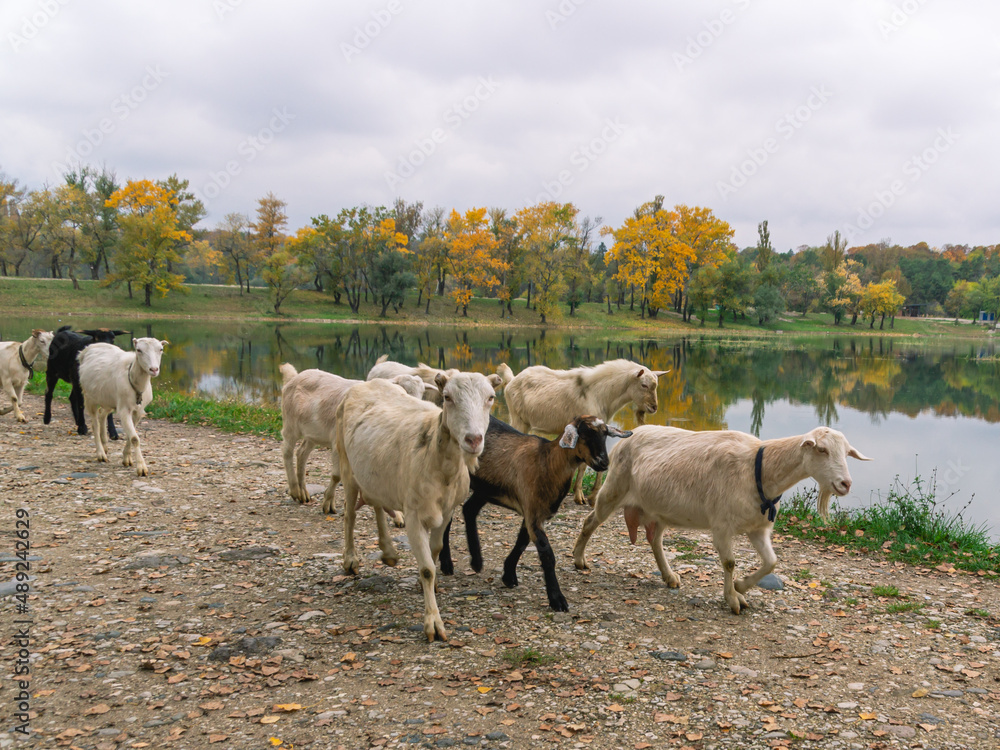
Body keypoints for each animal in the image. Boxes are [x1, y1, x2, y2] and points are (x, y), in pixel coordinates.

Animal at [77, 338, 168, 476]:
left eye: (161, 349)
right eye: (139, 350)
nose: (153, 369)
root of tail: (88, 348)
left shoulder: (138, 411)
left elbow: (131, 436)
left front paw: (127, 458)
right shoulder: (124, 409)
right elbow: (135, 438)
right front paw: (141, 468)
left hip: (108, 399)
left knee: (102, 413)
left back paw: (105, 445)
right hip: (89, 396)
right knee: (94, 423)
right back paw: (101, 454)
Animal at [336, 371, 500, 642]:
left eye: (491, 397)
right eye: (447, 397)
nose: (474, 439)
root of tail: (367, 384)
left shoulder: (447, 510)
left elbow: (435, 550)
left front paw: (427, 585)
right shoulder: (413, 515)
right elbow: (426, 569)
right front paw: (433, 622)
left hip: (376, 473)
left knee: (376, 503)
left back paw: (389, 552)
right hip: (346, 464)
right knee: (349, 514)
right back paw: (350, 560)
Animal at [439, 415, 631, 611]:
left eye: (605, 434)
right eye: (584, 434)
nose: (603, 463)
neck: (547, 461)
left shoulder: (533, 512)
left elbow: (522, 542)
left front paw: (508, 575)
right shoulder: (533, 511)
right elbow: (547, 555)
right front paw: (557, 599)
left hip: (486, 488)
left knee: (469, 509)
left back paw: (476, 561)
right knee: (446, 519)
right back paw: (447, 563)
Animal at [500, 359, 668, 504]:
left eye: (656, 385)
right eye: (644, 385)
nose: (654, 407)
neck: (600, 393)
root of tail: (512, 380)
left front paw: (593, 496)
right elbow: (583, 464)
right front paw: (579, 496)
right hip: (518, 419)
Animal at [572, 425, 871, 614]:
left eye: (846, 453)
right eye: (822, 450)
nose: (845, 484)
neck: (760, 469)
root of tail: (627, 436)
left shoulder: (758, 529)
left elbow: (771, 562)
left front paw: (741, 586)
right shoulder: (722, 527)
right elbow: (729, 563)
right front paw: (733, 599)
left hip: (661, 509)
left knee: (655, 540)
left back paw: (669, 576)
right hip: (613, 489)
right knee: (590, 521)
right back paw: (579, 559)